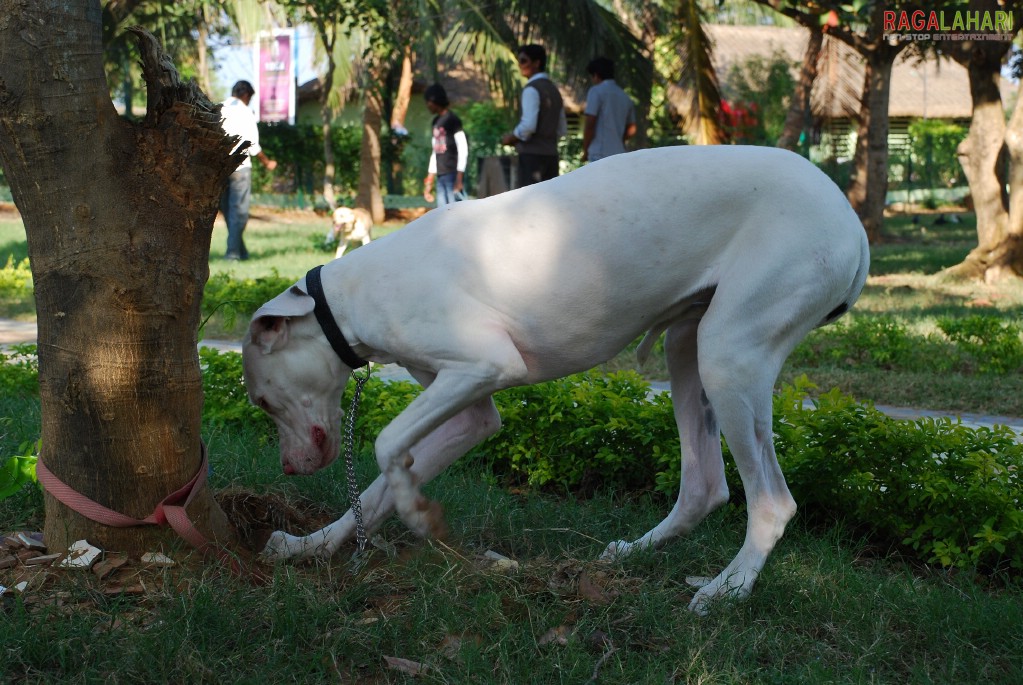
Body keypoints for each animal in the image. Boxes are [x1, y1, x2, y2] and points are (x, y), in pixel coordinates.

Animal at [243, 146, 867, 617]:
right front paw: (311, 546)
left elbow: (385, 443)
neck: (350, 296)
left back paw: (727, 590)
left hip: (729, 354)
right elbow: (375, 490)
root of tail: (851, 222)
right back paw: (634, 554)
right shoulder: (468, 405)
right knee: (705, 486)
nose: (288, 469)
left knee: (772, 502)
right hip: (688, 346)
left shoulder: (485, 365)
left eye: (262, 401)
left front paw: (416, 514)